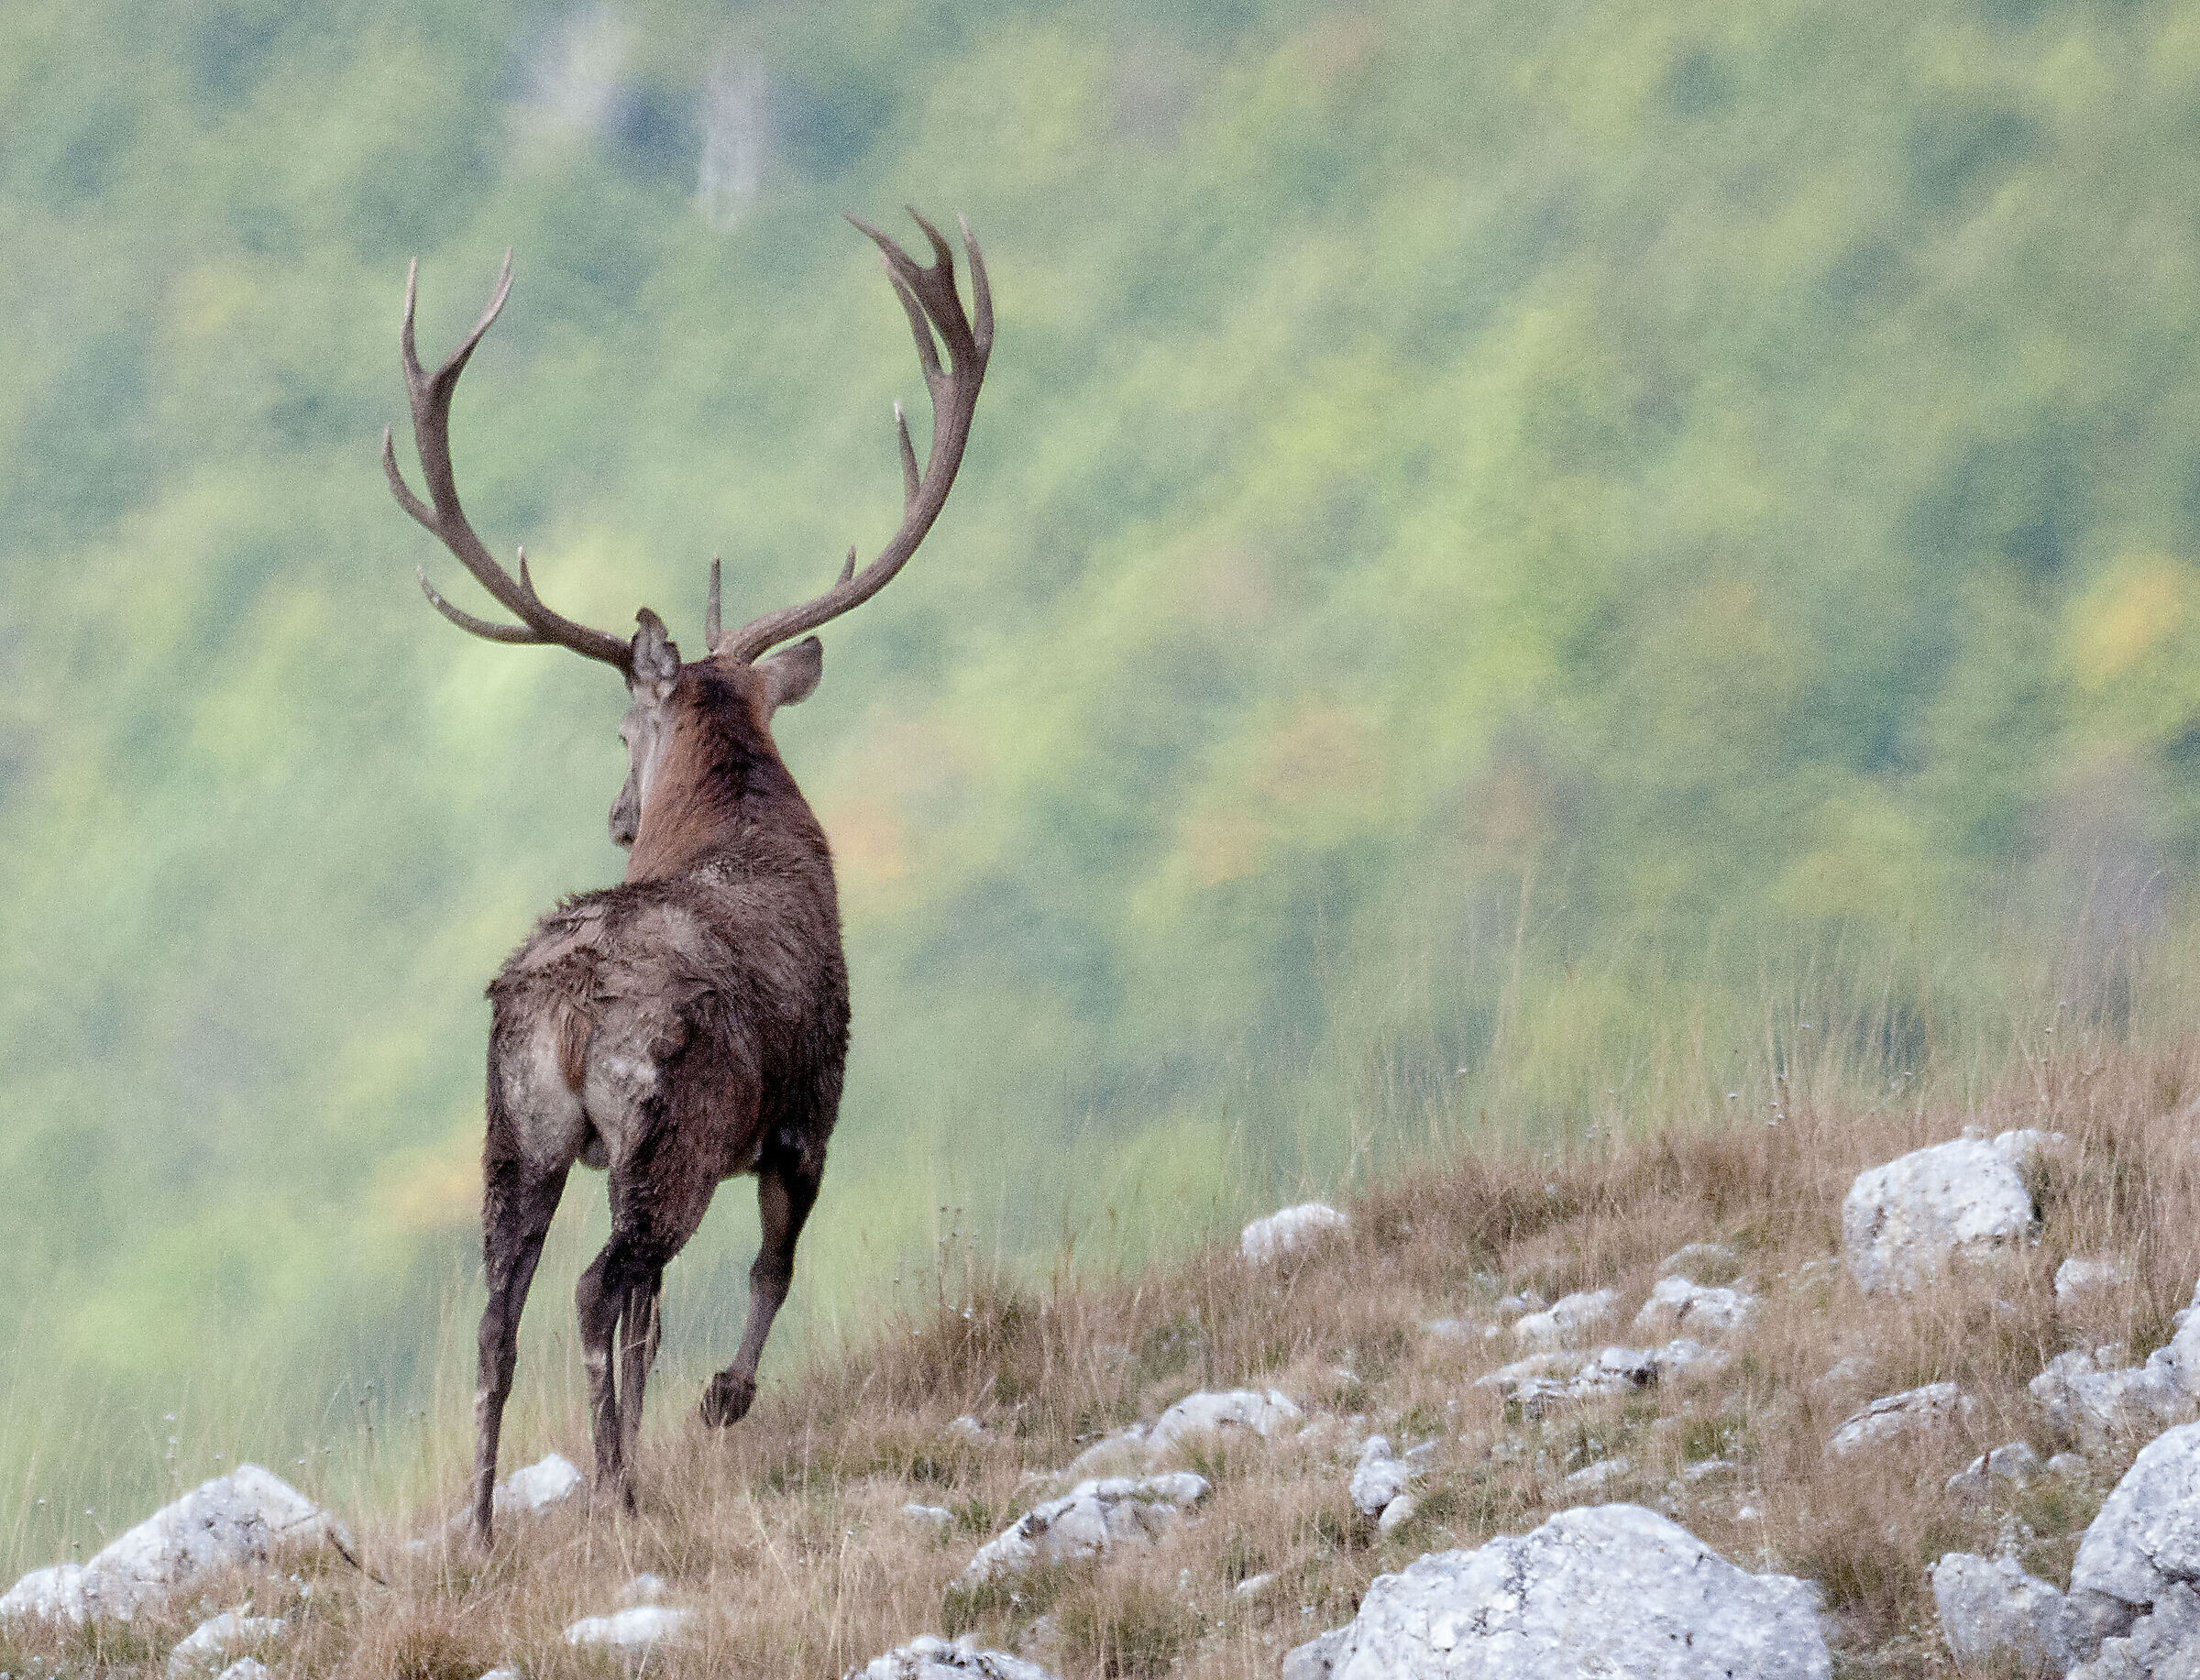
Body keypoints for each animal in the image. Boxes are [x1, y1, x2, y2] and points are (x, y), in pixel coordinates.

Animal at [381, 210, 991, 1545]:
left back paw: (485, 1524)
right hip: (672, 1127)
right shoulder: (812, 1094)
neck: (741, 823)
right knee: (606, 1287)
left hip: (510, 1134)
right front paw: (727, 1399)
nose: (618, 816)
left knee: (502, 1316)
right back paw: (617, 1482)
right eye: (626, 728)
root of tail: (561, 1013)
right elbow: (775, 1263)